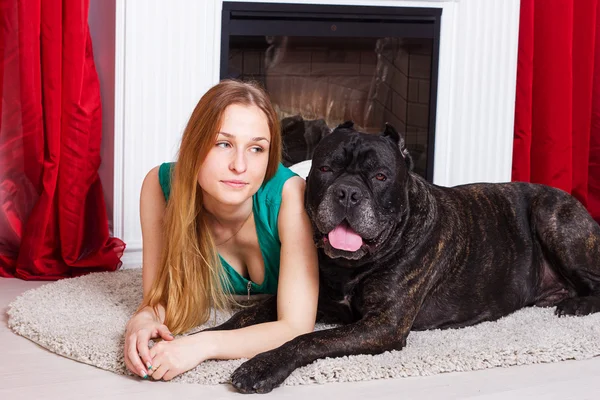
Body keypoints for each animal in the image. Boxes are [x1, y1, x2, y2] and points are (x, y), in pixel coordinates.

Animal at [205, 121, 600, 394]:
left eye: (381, 176)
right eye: (326, 169)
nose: (347, 192)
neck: (351, 266)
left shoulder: (384, 325)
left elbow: (308, 340)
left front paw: (260, 366)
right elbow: (244, 318)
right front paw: (206, 337)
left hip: (551, 216)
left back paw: (577, 305)